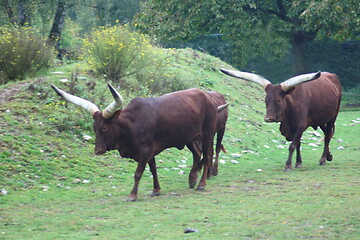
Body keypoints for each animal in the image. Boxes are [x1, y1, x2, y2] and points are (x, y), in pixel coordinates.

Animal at [50, 83, 225, 202]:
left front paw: (132, 195)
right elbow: (153, 169)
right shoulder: (150, 151)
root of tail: (208, 97)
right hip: (190, 137)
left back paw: (201, 184)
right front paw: (156, 190)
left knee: (207, 155)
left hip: (207, 134)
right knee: (197, 154)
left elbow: (138, 173)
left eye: (104, 128)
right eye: (94, 128)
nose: (97, 151)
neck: (131, 125)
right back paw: (192, 179)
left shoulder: (145, 151)